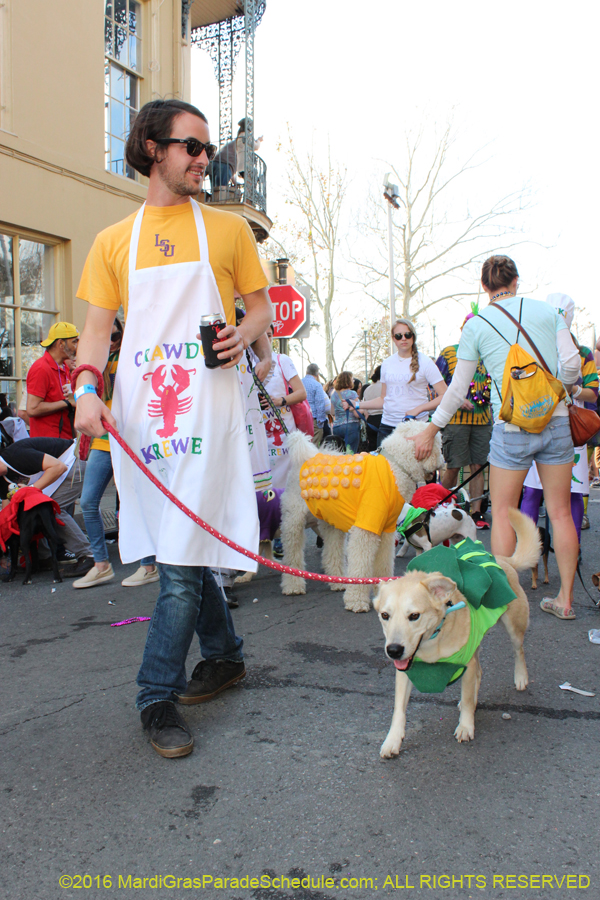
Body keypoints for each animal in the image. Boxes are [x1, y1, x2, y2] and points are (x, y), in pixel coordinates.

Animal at [278, 422, 442, 612]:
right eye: (438, 443)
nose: (443, 462)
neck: (395, 466)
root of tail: (308, 456)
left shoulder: (385, 531)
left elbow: (383, 563)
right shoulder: (365, 530)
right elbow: (360, 566)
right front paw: (356, 601)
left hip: (330, 524)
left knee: (332, 551)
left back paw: (338, 581)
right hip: (293, 521)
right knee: (293, 553)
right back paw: (293, 585)